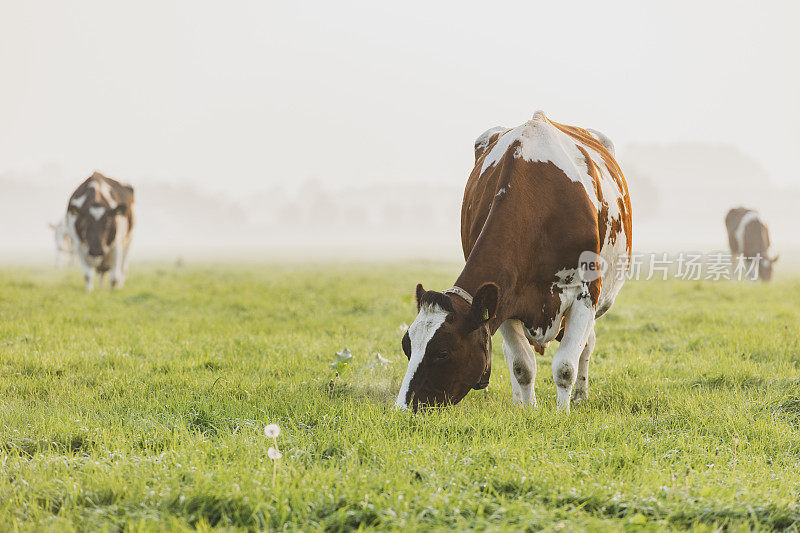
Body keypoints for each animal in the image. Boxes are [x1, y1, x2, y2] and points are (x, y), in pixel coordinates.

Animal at [394, 111, 632, 412]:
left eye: (442, 352)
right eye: (407, 346)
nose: (401, 409)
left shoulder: (586, 293)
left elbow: (566, 366)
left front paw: (563, 412)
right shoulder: (505, 298)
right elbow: (522, 365)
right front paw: (528, 411)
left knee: (587, 345)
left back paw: (579, 396)